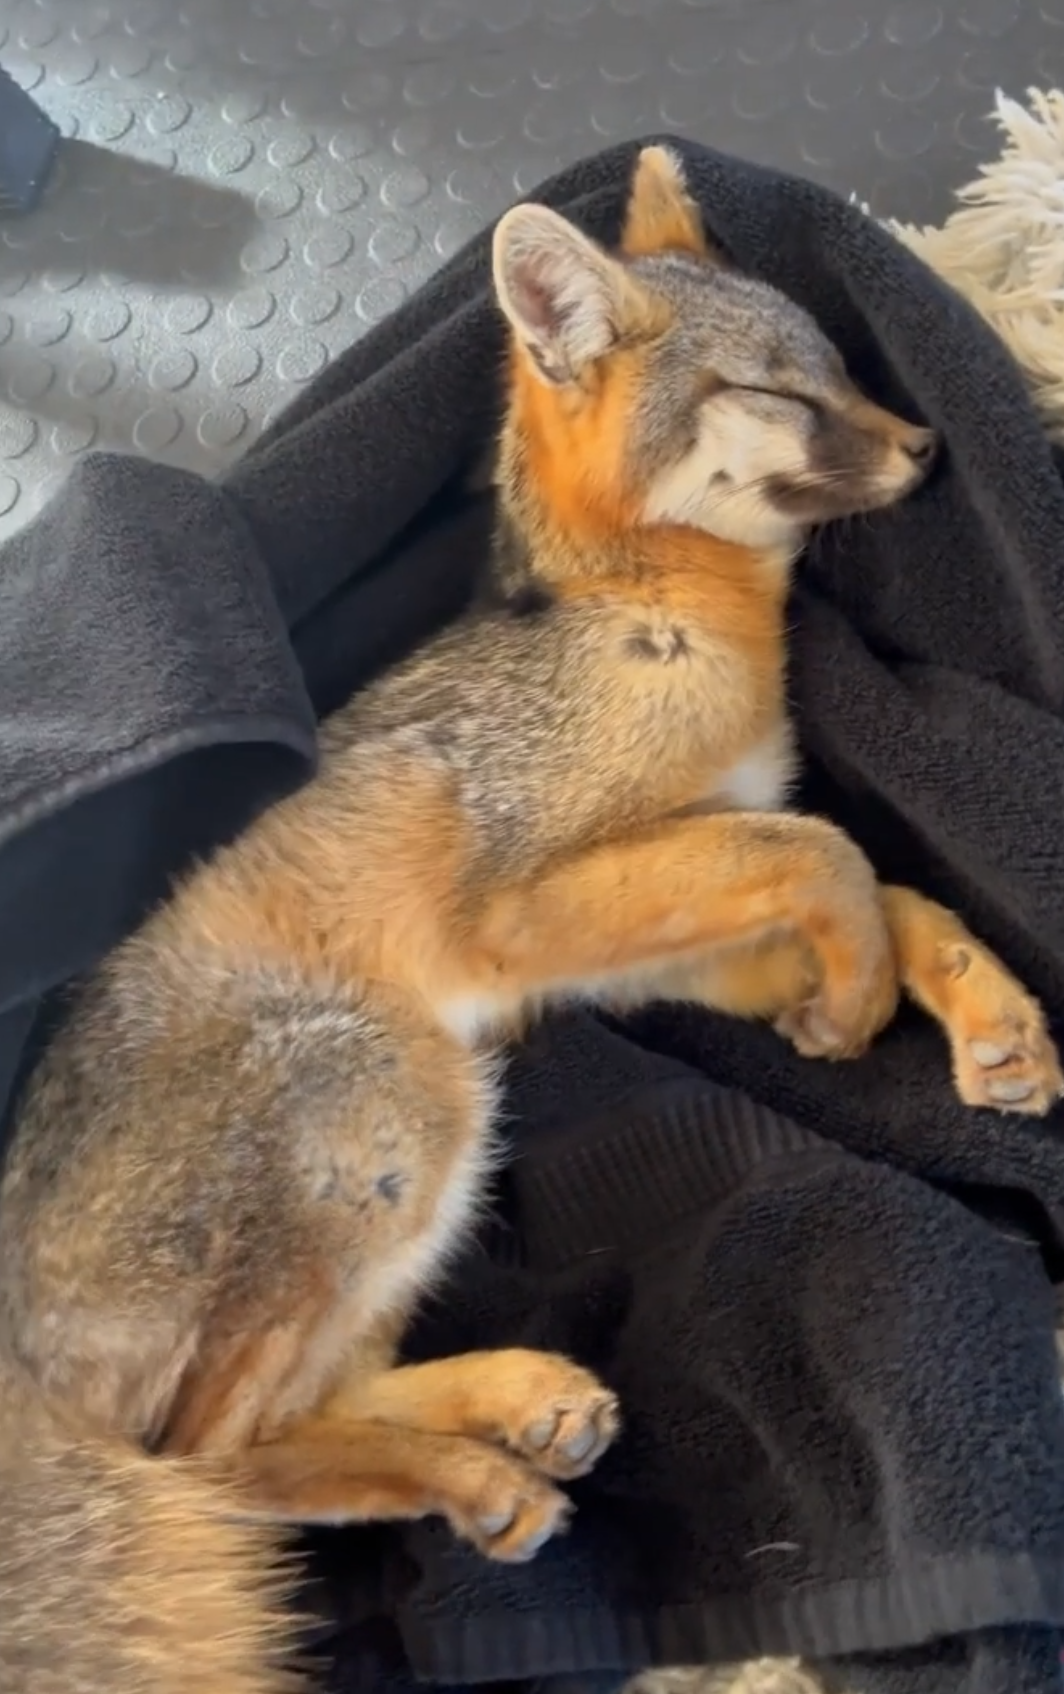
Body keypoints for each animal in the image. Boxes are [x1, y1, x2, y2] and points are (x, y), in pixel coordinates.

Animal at [1, 144, 1061, 1694]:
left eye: (838, 367)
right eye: (781, 392)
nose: (927, 450)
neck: (655, 610)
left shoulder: (661, 938)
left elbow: (884, 879)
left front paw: (976, 1020)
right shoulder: (530, 903)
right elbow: (827, 848)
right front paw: (863, 1002)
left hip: (425, 1157)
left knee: (287, 1415)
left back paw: (508, 1404)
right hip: (402, 1094)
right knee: (211, 1462)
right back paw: (472, 1473)